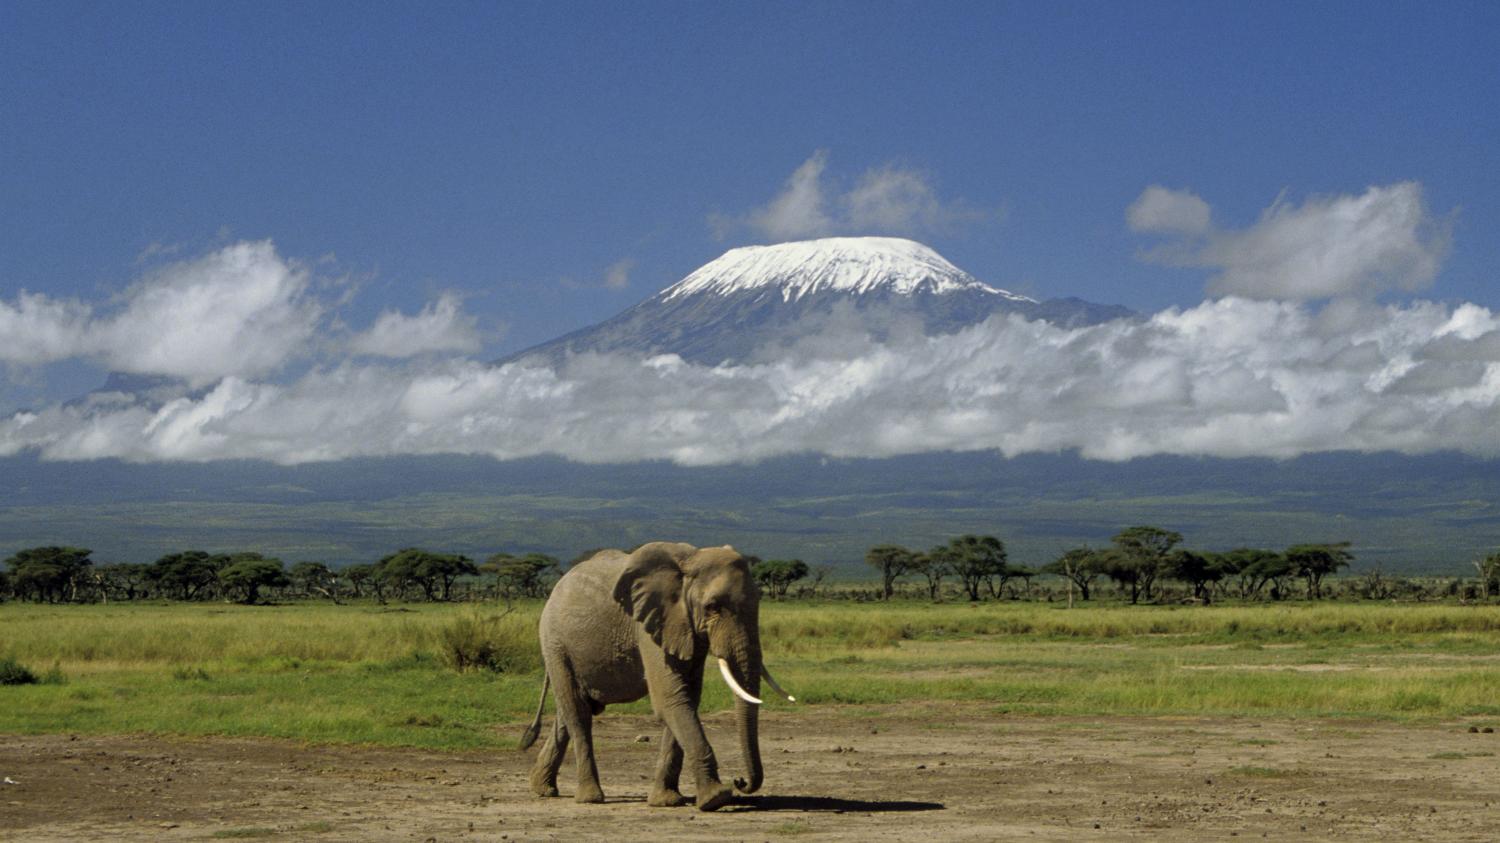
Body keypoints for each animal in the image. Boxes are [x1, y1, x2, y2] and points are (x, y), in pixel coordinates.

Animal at [519, 537, 792, 810]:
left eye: (758, 601)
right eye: (712, 607)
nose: (739, 780)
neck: (690, 560)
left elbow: (686, 698)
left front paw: (667, 801)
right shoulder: (650, 625)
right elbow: (670, 699)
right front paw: (716, 798)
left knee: (570, 710)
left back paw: (542, 788)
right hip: (554, 643)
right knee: (577, 712)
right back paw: (590, 798)